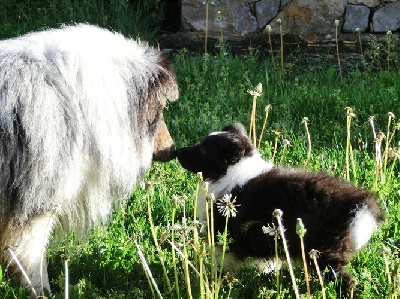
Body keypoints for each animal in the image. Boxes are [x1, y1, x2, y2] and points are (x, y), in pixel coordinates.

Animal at [177, 123, 382, 296]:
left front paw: (217, 281)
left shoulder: (226, 232)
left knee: (344, 280)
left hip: (324, 253)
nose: (176, 151)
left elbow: (223, 260)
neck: (232, 169)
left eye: (203, 149)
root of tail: (356, 204)